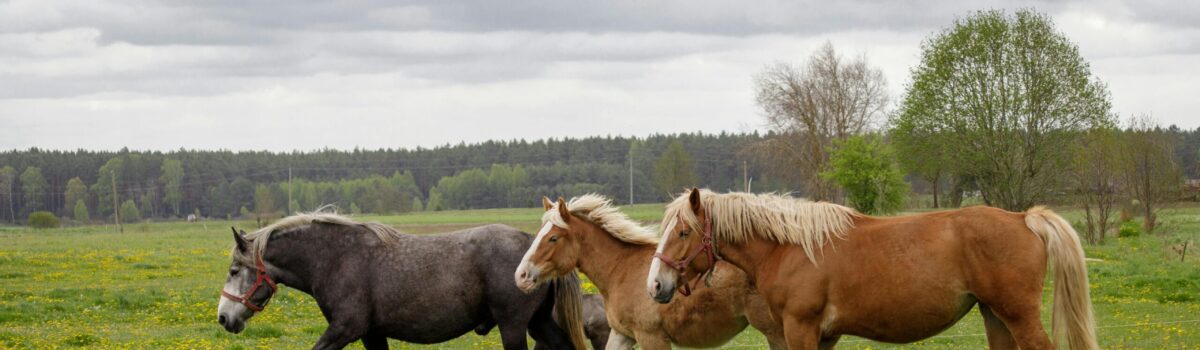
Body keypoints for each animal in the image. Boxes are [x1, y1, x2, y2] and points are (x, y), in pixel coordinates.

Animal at [219, 212, 590, 347]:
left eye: (235, 271)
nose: (223, 318)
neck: (337, 258)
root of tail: (533, 245)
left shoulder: (345, 330)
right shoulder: (371, 334)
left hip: (513, 326)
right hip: (538, 323)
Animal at [513, 195, 787, 350]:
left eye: (553, 238)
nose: (521, 276)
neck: (620, 269)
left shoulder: (651, 338)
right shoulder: (622, 335)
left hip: (776, 332)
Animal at [648, 190, 1099, 347]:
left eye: (683, 231)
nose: (656, 285)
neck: (790, 247)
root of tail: (1024, 218)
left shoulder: (800, 329)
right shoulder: (824, 336)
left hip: (1018, 316)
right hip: (996, 316)